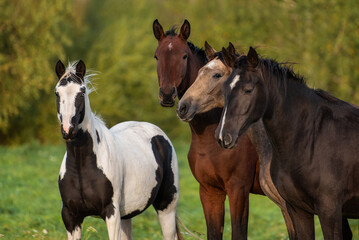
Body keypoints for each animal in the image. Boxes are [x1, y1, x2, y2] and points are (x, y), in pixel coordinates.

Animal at [54, 60, 184, 240]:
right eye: (57, 93)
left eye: (81, 92)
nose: (68, 130)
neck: (82, 166)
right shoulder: (71, 216)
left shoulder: (112, 214)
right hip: (127, 215)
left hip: (166, 206)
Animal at [153, 19, 264, 239]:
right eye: (157, 56)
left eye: (184, 55)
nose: (168, 95)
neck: (210, 142)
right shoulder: (209, 192)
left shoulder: (238, 190)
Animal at [215, 46, 358, 238]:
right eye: (224, 89)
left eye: (248, 89)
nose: (223, 136)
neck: (311, 139)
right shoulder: (298, 210)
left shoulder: (330, 211)